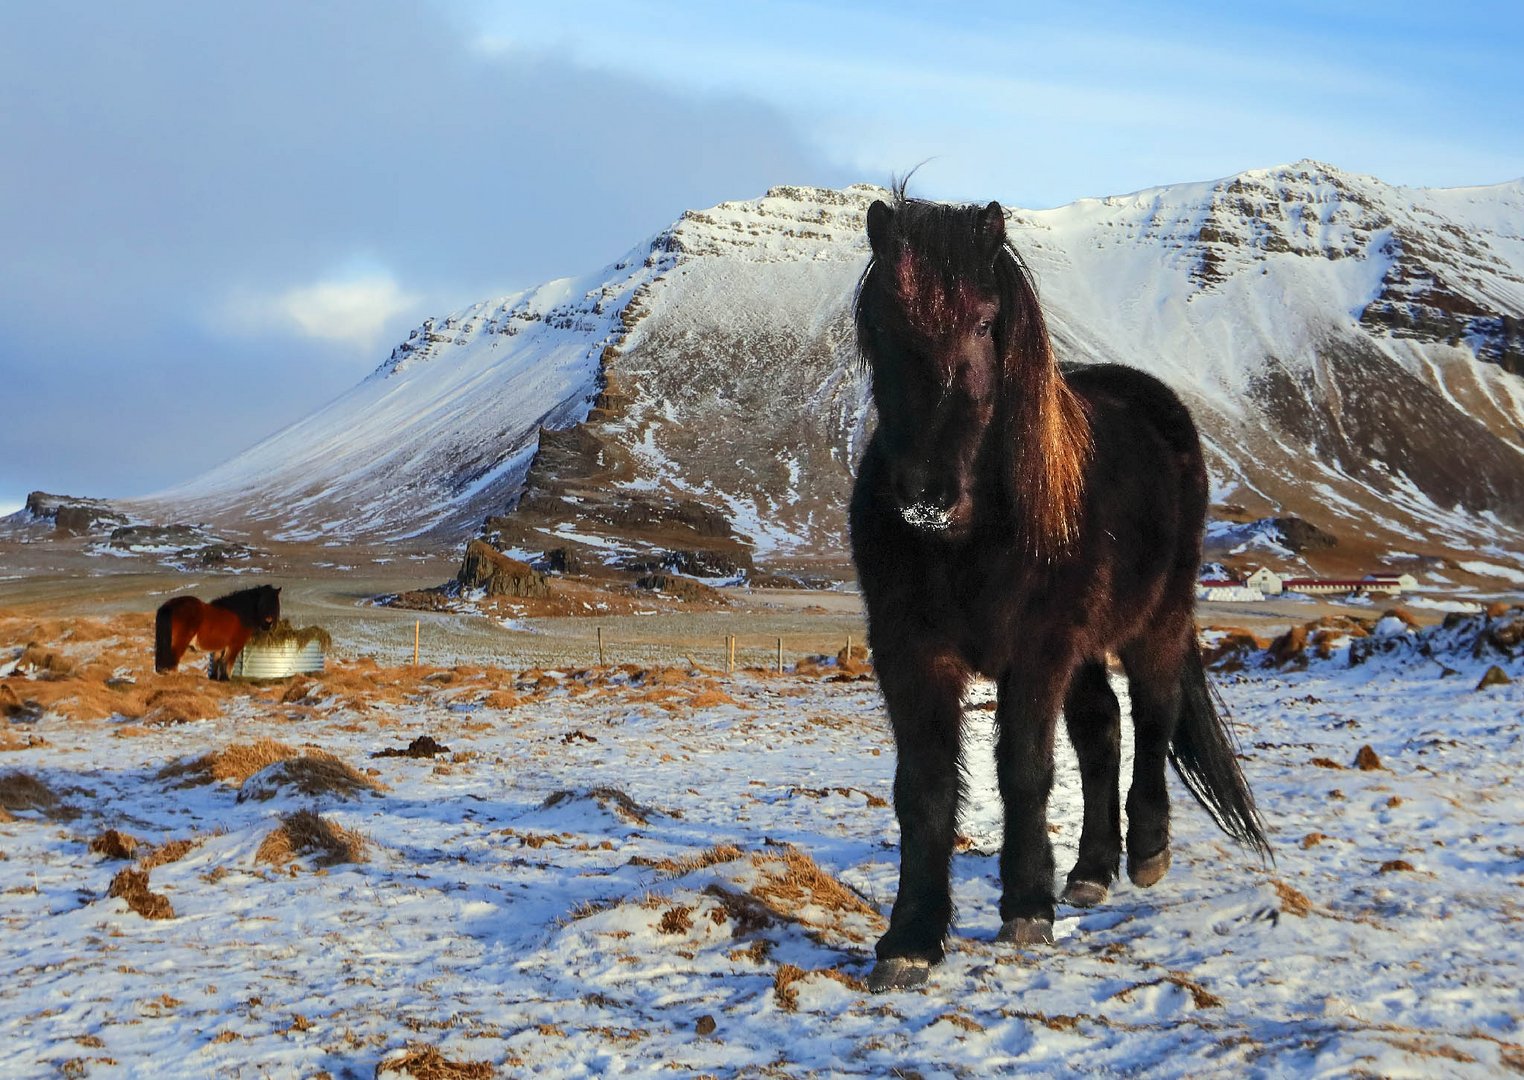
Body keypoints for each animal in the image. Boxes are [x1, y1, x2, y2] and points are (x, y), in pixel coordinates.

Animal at [153, 584, 281, 679]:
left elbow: (216, 662)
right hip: (179, 643)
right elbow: (227, 663)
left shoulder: (219, 646)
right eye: (262, 603)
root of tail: (170, 605)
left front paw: (214, 678)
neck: (239, 613)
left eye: (275, 604)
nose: (268, 623)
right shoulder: (234, 646)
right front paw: (225, 679)